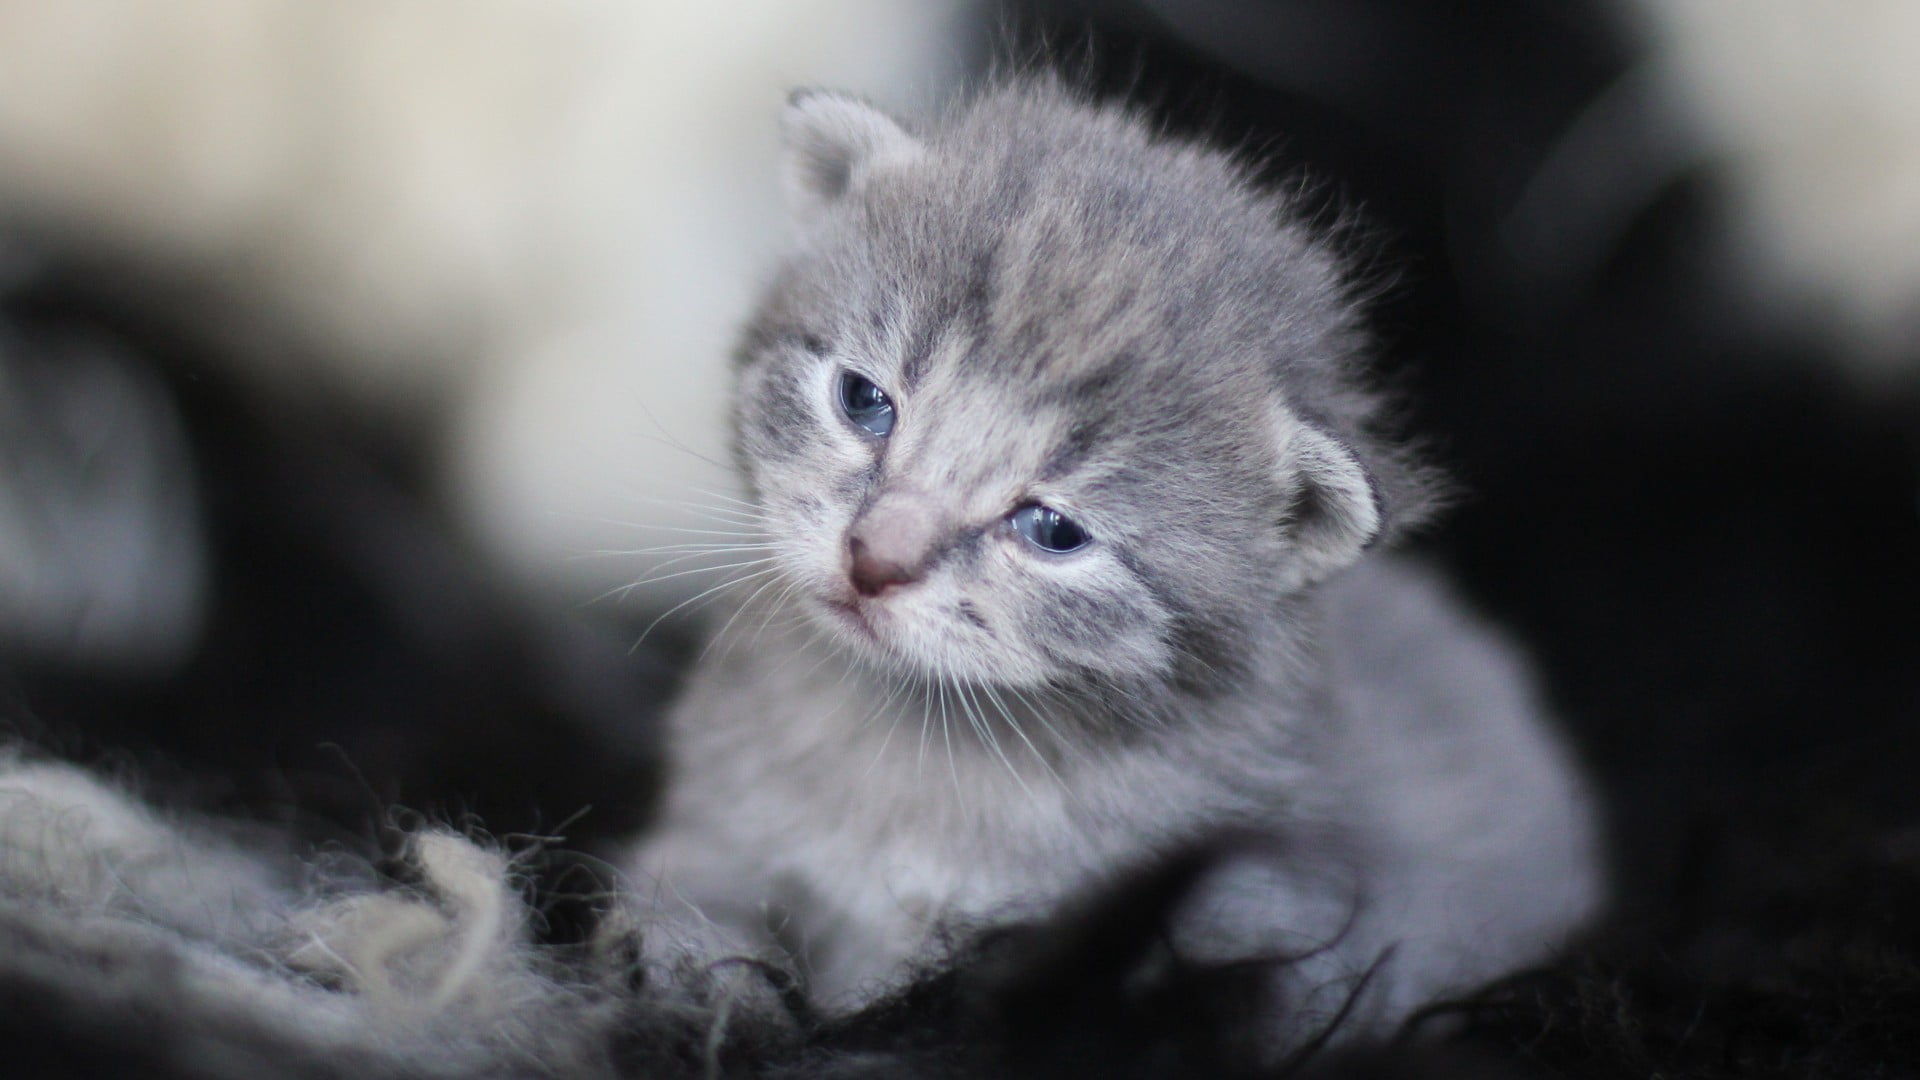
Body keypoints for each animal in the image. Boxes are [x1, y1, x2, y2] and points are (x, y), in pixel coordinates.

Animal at [629, 77, 1605, 1045]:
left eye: (1053, 530)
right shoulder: (697, 852)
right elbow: (692, 949)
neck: (909, 743)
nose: (874, 560)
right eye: (865, 401)